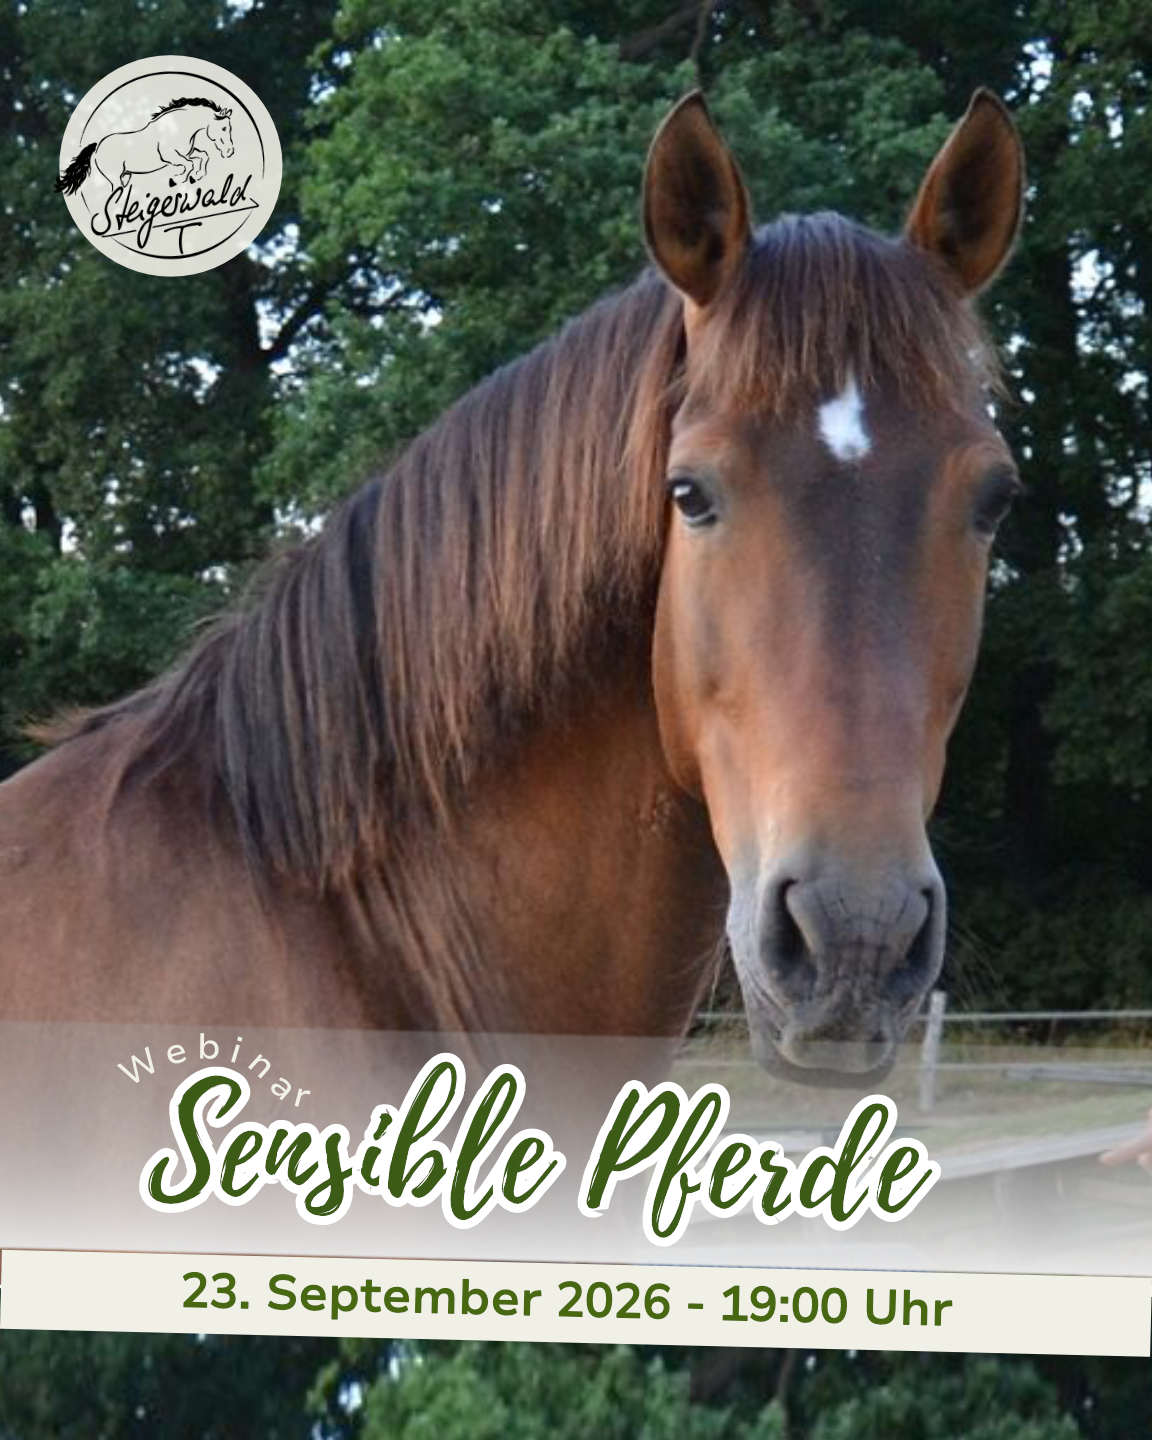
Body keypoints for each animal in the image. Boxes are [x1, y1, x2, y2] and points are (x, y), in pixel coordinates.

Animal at [55, 97, 235, 202]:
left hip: (126, 176)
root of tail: (98, 146)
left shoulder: (187, 153)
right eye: (224, 128)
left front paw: (196, 177)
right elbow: (189, 164)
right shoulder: (171, 157)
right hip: (115, 177)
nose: (230, 151)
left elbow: (203, 157)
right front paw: (176, 180)